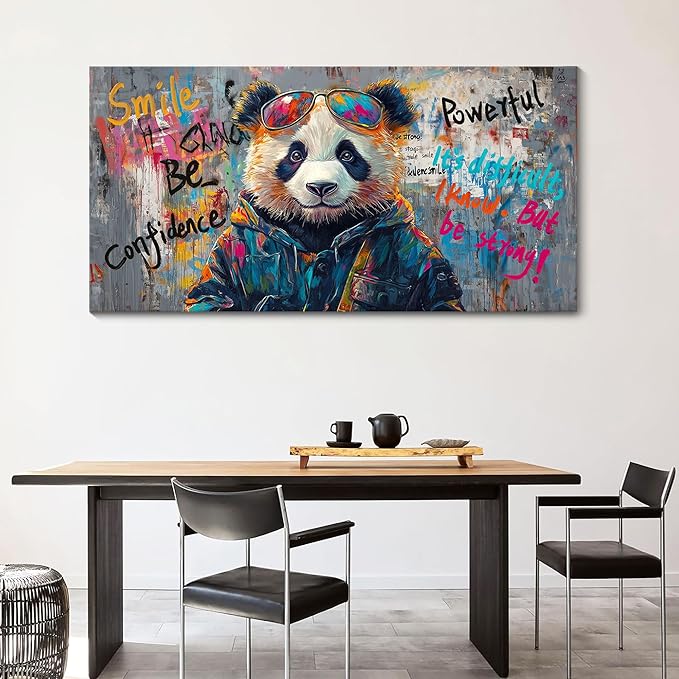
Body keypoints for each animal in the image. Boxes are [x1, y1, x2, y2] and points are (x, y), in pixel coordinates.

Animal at [185, 79, 464, 312]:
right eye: (296, 155)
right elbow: (212, 293)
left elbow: (439, 296)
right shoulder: (231, 243)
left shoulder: (411, 245)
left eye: (348, 155)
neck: (320, 223)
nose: (320, 187)